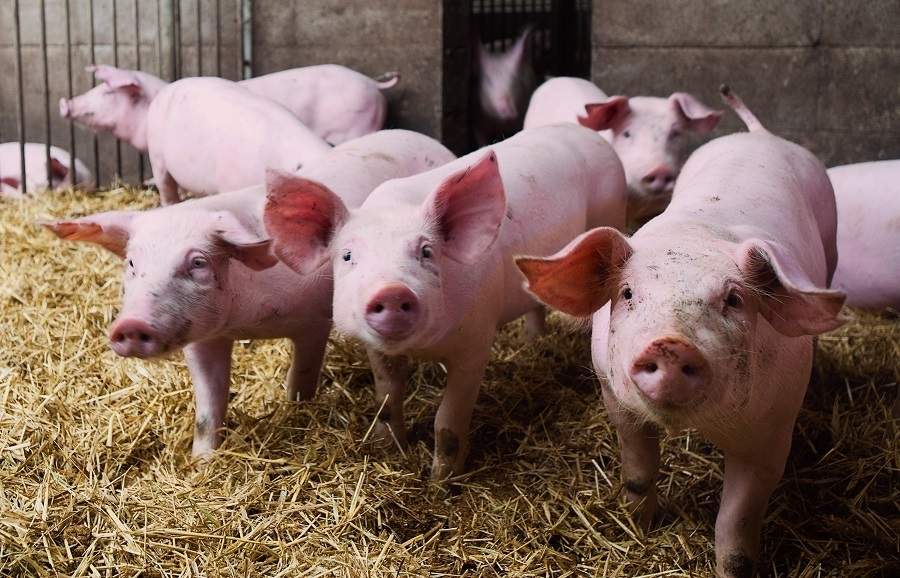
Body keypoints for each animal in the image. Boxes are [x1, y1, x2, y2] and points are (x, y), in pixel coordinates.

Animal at [43, 129, 456, 457]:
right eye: (132, 263)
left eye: (197, 263)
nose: (130, 325)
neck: (246, 320)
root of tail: (429, 140)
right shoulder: (204, 338)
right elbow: (208, 408)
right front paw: (201, 462)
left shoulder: (313, 319)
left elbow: (302, 374)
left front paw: (296, 407)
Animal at [264, 124, 627, 480]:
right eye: (348, 255)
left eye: (426, 251)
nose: (392, 291)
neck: (423, 348)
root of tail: (588, 134)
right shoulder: (377, 350)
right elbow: (386, 400)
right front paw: (388, 447)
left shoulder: (476, 342)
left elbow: (447, 423)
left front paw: (441, 483)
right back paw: (531, 340)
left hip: (610, 213)